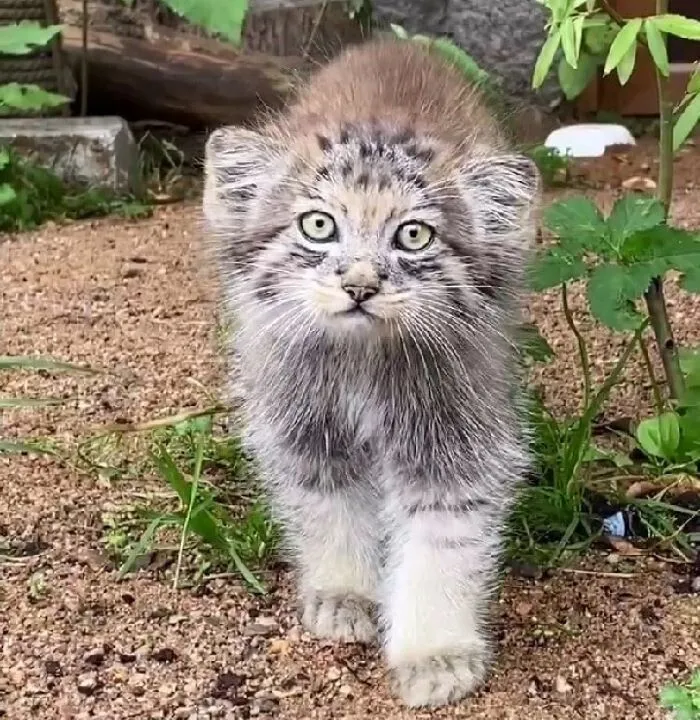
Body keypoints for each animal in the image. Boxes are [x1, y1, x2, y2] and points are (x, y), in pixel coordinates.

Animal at [202, 36, 540, 704]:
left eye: (413, 236)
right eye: (318, 225)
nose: (360, 285)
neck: (363, 365)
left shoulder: (454, 443)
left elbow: (441, 546)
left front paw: (435, 653)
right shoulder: (307, 431)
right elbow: (330, 516)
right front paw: (345, 594)